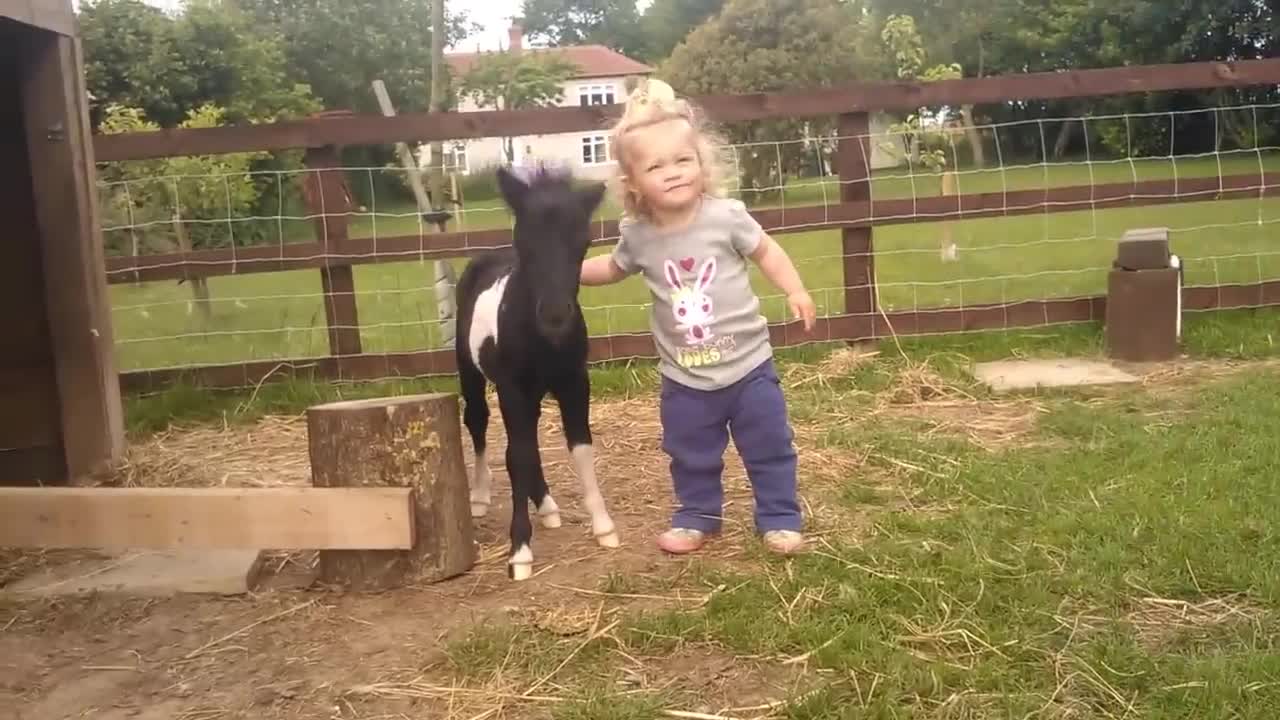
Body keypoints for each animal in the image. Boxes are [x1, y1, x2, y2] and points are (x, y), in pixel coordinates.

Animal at [458, 163, 622, 576]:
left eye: (582, 242)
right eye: (525, 239)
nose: (555, 316)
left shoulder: (574, 382)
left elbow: (579, 446)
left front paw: (604, 527)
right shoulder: (511, 387)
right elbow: (518, 455)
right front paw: (519, 550)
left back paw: (546, 506)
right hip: (470, 370)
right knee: (478, 422)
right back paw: (480, 496)